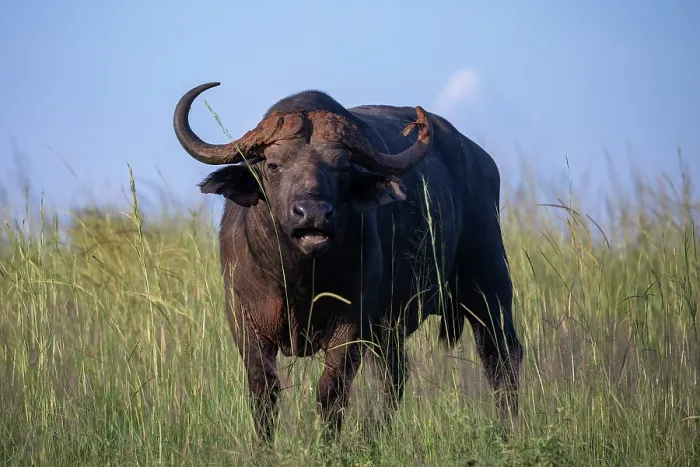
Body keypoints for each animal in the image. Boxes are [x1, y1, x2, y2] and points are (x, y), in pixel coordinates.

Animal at [173, 82, 524, 441]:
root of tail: (481, 161)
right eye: (273, 165)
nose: (312, 213)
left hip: (489, 287)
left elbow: (332, 389)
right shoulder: (245, 318)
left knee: (500, 356)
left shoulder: (352, 320)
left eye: (341, 167)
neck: (298, 278)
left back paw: (507, 430)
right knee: (394, 375)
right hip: (392, 327)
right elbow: (264, 391)